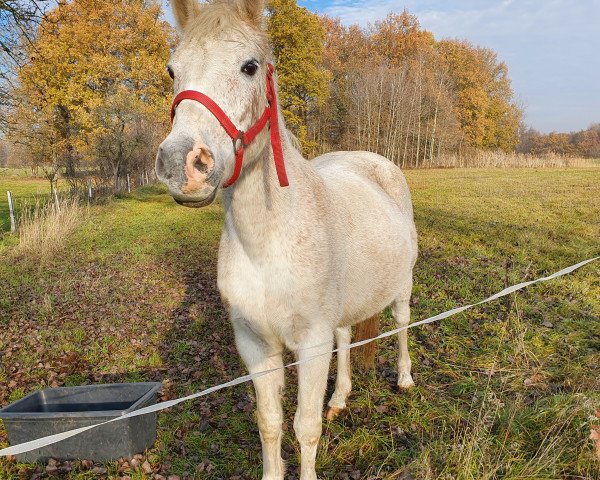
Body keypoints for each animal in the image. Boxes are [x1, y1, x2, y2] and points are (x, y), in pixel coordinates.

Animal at [155, 1, 418, 478]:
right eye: (172, 70)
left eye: (250, 67)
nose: (182, 164)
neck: (268, 245)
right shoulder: (256, 346)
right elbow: (270, 423)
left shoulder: (310, 346)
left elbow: (305, 427)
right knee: (346, 338)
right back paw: (340, 397)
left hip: (402, 287)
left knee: (403, 323)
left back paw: (405, 379)